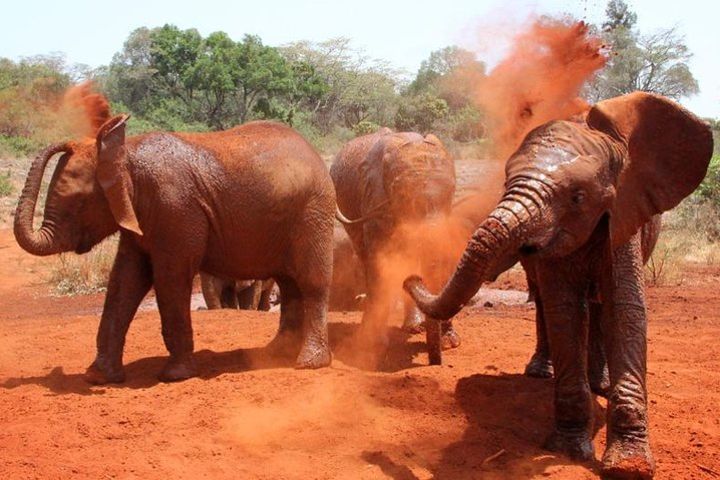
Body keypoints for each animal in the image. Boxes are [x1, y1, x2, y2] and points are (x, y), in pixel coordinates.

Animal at [14, 107, 336, 384]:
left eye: (78, 202)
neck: (125, 153)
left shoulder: (175, 209)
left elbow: (170, 278)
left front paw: (174, 376)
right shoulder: (139, 216)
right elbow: (125, 281)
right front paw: (98, 377)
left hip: (313, 212)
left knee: (312, 283)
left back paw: (308, 363)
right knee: (289, 284)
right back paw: (275, 354)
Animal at [330, 128, 459, 352]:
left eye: (452, 191)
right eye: (403, 196)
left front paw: (450, 342)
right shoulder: (374, 201)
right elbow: (379, 258)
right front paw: (374, 343)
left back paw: (413, 327)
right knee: (366, 257)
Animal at [403, 92, 713, 478]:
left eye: (578, 197)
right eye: (505, 184)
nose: (410, 277)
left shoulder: (624, 214)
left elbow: (624, 308)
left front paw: (630, 466)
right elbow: (563, 310)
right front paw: (567, 450)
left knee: (598, 305)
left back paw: (601, 385)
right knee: (546, 302)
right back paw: (541, 373)